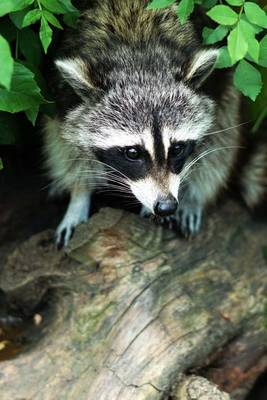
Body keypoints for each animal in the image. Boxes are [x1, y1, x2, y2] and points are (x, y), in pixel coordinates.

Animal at [44, 0, 267, 248]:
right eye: (132, 153)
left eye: (177, 148)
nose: (166, 206)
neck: (137, 51)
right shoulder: (63, 94)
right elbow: (67, 144)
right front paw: (79, 196)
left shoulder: (214, 85)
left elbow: (215, 139)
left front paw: (192, 197)